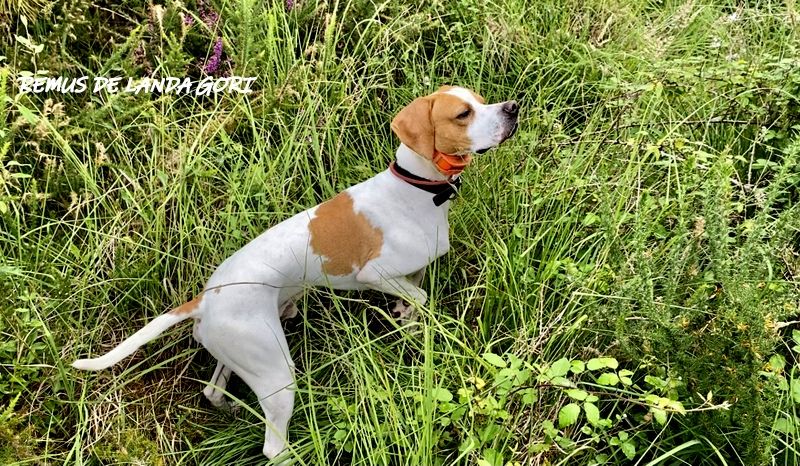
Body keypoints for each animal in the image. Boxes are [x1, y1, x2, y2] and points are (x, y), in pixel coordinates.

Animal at [73, 85, 520, 460]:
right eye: (463, 114)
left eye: (481, 101)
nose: (513, 107)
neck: (417, 188)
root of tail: (203, 299)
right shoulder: (376, 273)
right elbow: (418, 298)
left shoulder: (412, 273)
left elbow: (414, 305)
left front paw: (408, 325)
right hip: (276, 372)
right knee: (273, 447)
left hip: (240, 354)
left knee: (214, 391)